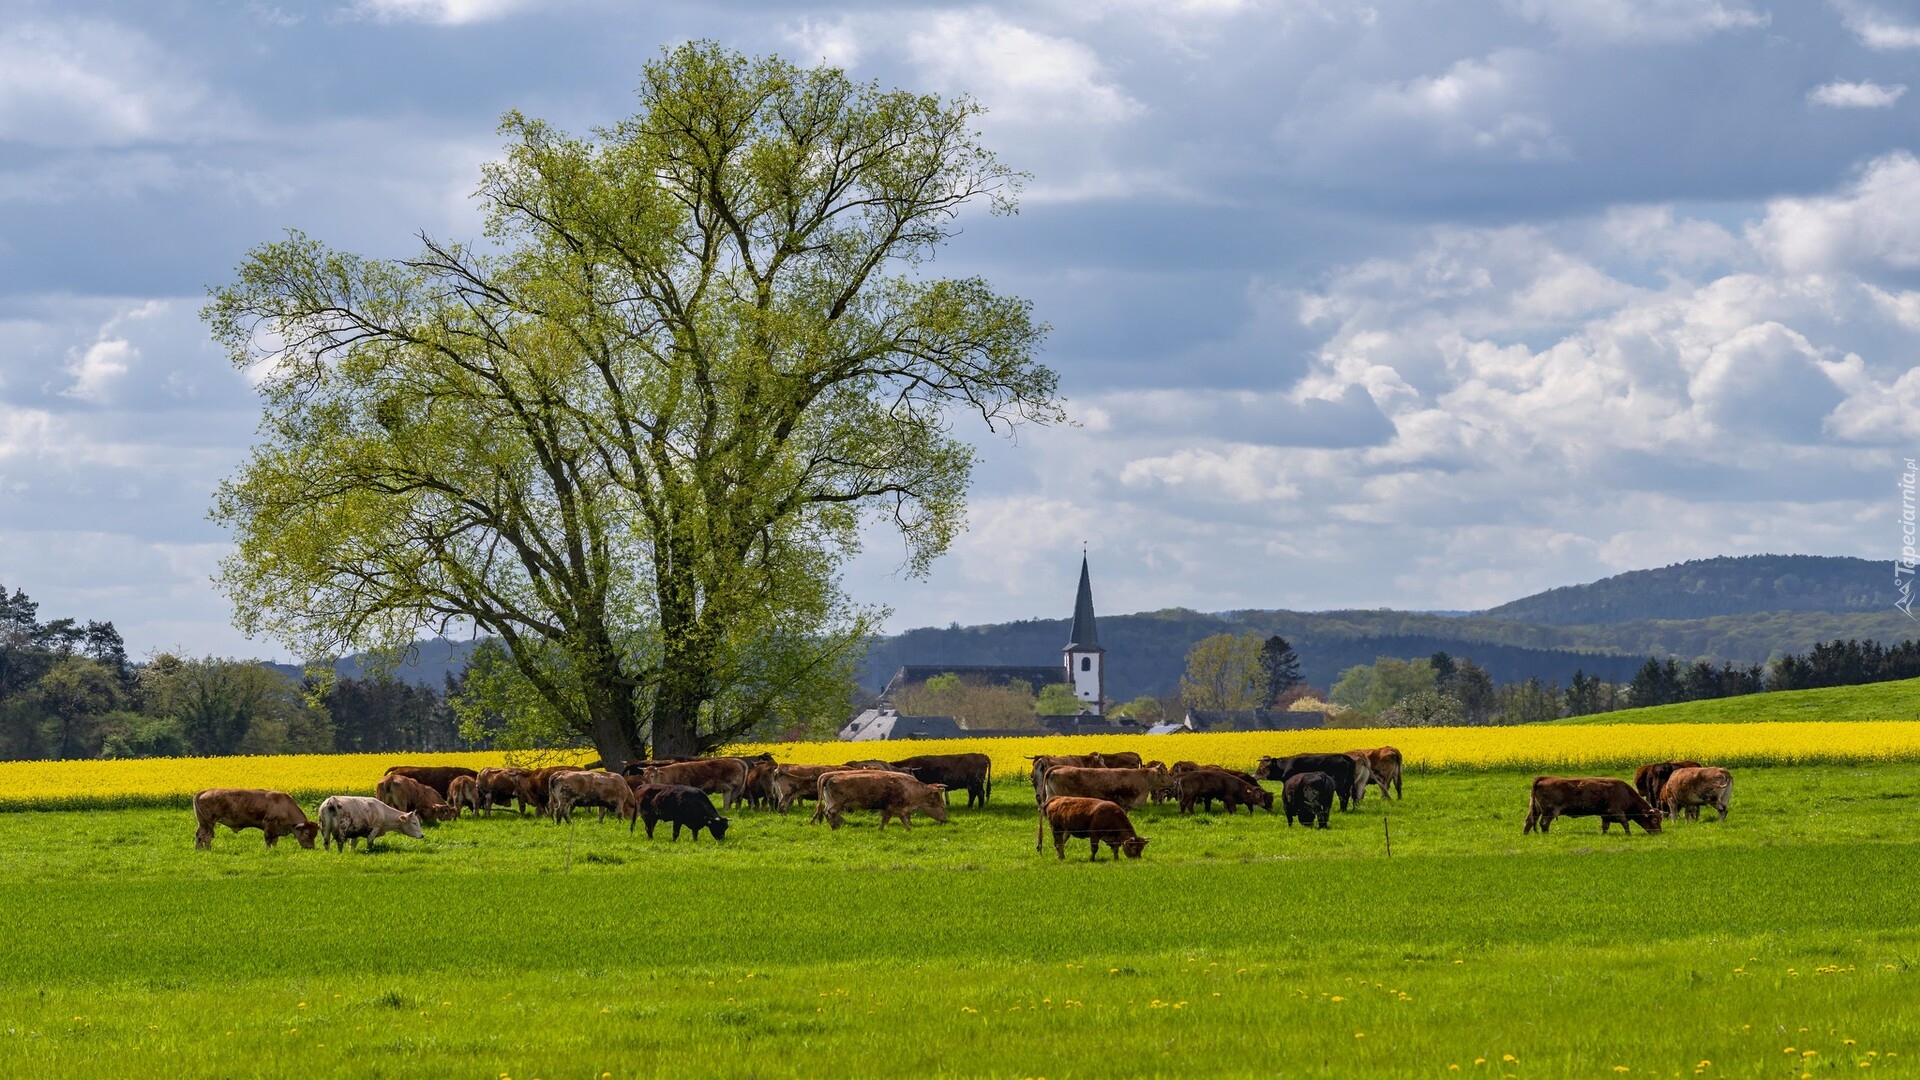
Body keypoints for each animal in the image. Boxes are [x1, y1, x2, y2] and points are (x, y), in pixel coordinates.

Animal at [817, 768, 952, 826]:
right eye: (942, 806)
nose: (945, 819)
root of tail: (828, 776)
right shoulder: (892, 807)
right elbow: (887, 819)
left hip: (830, 802)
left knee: (827, 813)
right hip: (837, 804)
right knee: (830, 813)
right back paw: (835, 827)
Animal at [1520, 772, 1658, 834]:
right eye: (1655, 819)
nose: (1659, 832)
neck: (1625, 792)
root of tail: (1544, 777)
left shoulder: (1605, 815)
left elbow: (1605, 826)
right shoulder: (1617, 812)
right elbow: (1625, 823)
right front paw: (1628, 834)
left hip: (1535, 809)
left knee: (1529, 821)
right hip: (1549, 812)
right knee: (1543, 823)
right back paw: (1546, 834)